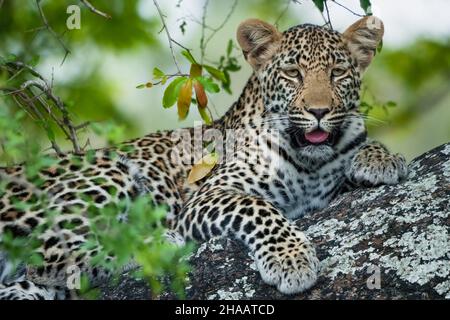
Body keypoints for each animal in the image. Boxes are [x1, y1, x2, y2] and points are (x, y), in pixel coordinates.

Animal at [0, 16, 408, 298]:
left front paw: (378, 159)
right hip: (107, 173)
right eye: (293, 73)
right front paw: (291, 258)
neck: (309, 161)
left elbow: (358, 147)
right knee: (51, 260)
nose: (320, 111)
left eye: (338, 72)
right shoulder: (208, 195)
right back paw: (155, 242)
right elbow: (258, 208)